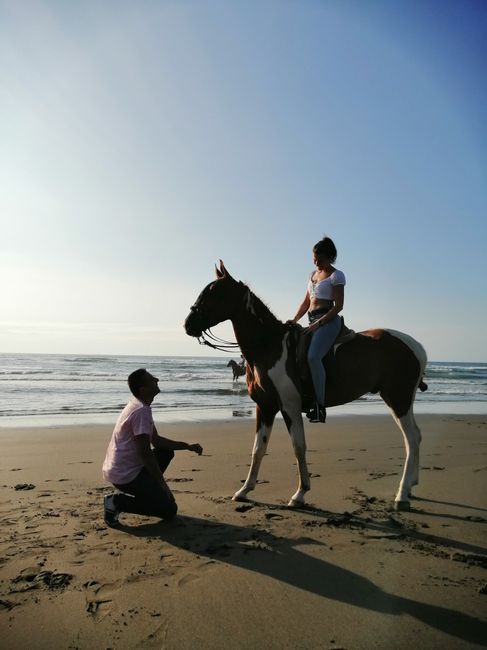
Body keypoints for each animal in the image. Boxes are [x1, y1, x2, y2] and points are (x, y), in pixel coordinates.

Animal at [185, 260, 428, 508]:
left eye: (215, 292)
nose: (188, 324)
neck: (269, 345)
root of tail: (414, 345)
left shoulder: (290, 407)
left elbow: (298, 446)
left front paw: (300, 493)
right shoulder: (265, 407)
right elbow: (258, 449)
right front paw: (245, 490)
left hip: (398, 399)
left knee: (411, 439)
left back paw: (402, 494)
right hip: (401, 400)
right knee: (416, 436)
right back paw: (411, 486)